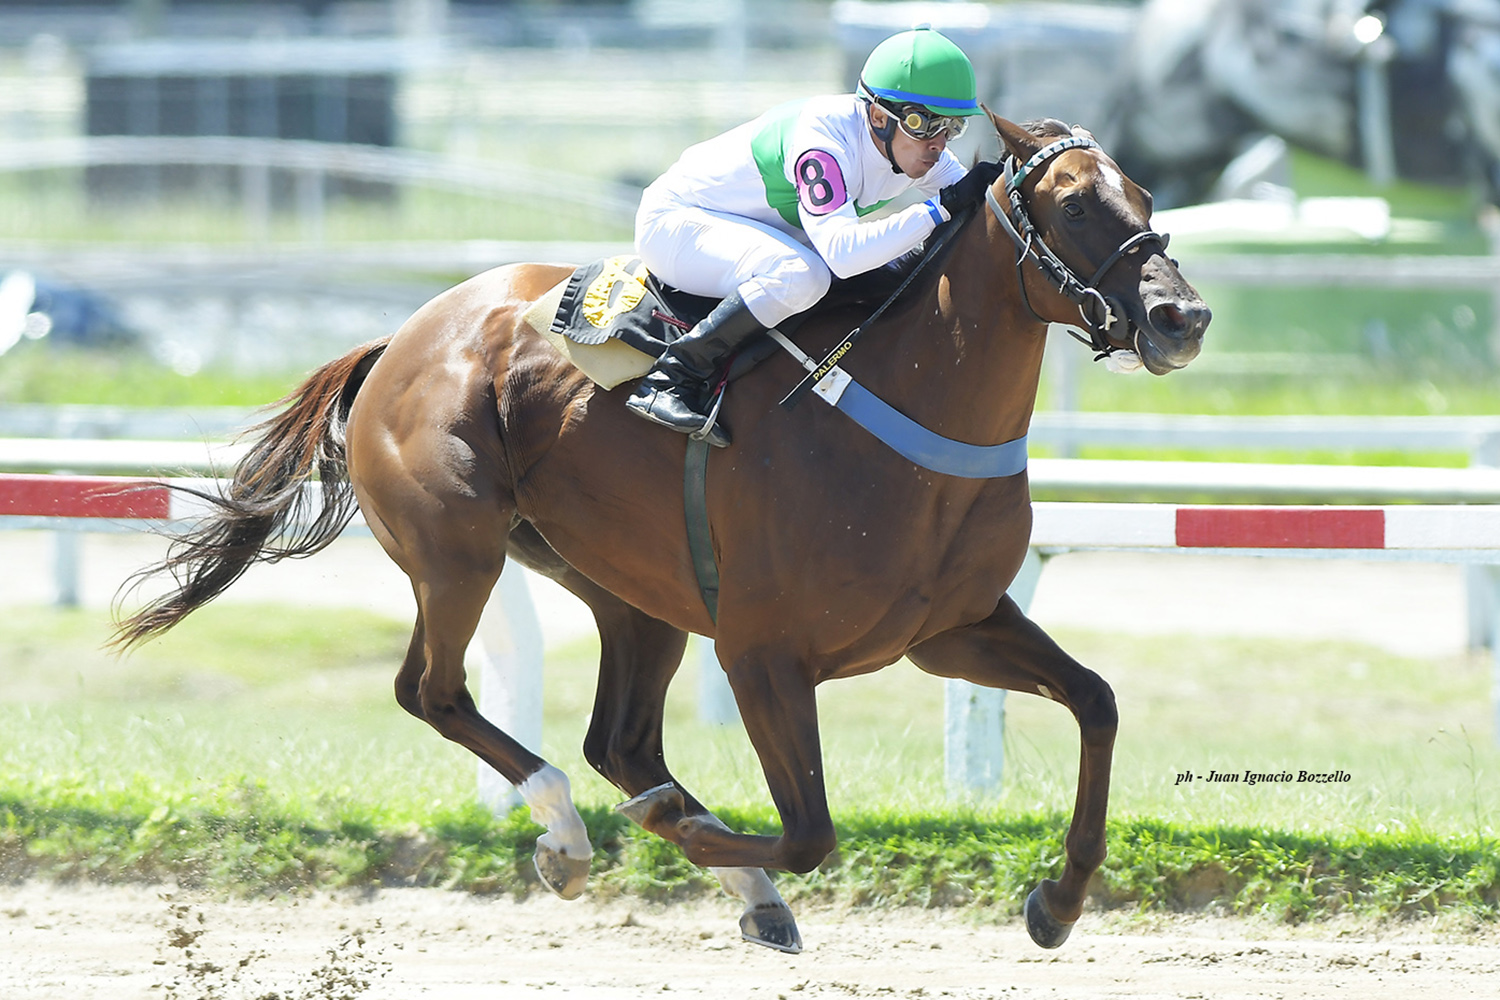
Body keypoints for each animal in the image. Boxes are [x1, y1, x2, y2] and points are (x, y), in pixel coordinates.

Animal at [114, 112, 1210, 953]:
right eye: (1075, 204)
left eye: (1146, 195)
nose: (1181, 317)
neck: (902, 409)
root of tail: (404, 336)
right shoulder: (765, 654)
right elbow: (809, 831)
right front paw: (687, 837)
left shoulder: (950, 628)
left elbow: (1098, 701)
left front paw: (1057, 901)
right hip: (457, 549)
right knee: (435, 691)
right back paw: (569, 832)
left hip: (630, 588)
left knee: (622, 741)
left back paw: (712, 865)